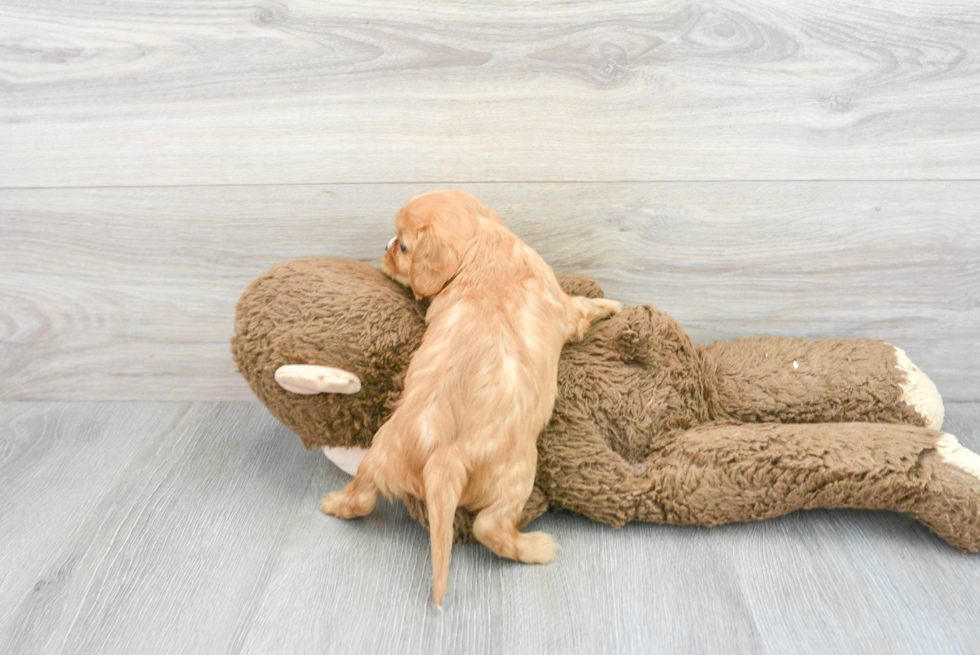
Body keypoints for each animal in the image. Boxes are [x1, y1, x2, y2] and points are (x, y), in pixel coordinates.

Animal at [326, 188, 624, 604]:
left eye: (402, 246)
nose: (384, 247)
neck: (483, 244)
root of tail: (443, 459)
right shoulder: (564, 305)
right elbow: (584, 306)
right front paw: (612, 305)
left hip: (380, 453)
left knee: (362, 496)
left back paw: (333, 503)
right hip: (517, 474)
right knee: (491, 528)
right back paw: (537, 548)